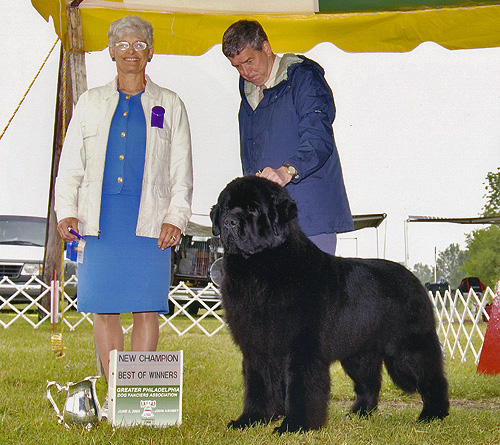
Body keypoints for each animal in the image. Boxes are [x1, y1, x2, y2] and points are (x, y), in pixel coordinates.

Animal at [211, 175, 450, 432]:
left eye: (253, 209)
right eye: (226, 207)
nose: (229, 222)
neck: (260, 268)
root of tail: (414, 278)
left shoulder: (302, 345)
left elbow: (300, 386)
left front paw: (295, 424)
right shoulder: (255, 344)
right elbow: (258, 384)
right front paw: (250, 420)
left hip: (407, 346)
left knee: (431, 376)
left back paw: (433, 413)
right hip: (359, 352)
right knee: (369, 383)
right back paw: (359, 413)